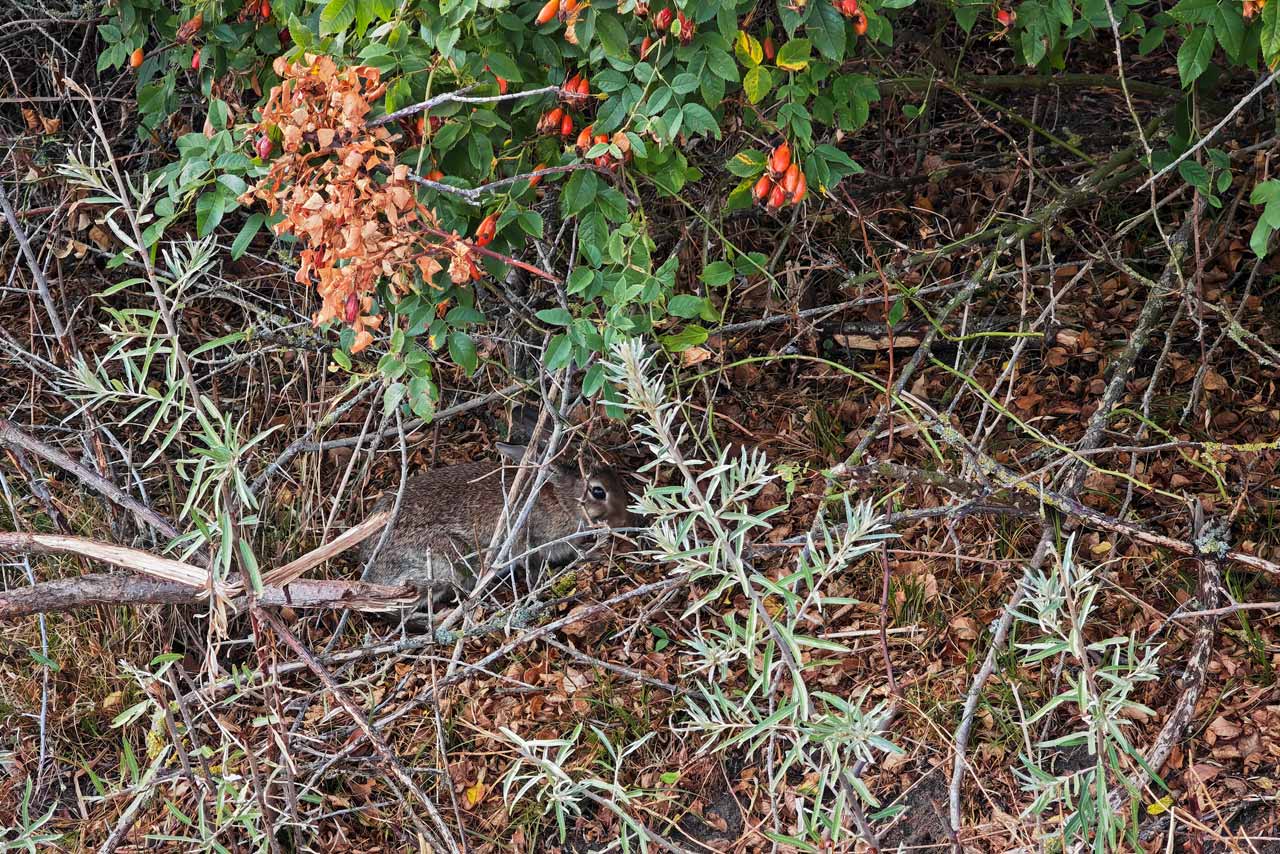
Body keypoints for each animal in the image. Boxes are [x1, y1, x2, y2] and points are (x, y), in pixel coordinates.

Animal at [359, 441, 633, 615]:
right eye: (598, 492)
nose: (625, 519)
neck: (562, 501)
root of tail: (370, 573)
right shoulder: (535, 544)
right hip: (444, 563)